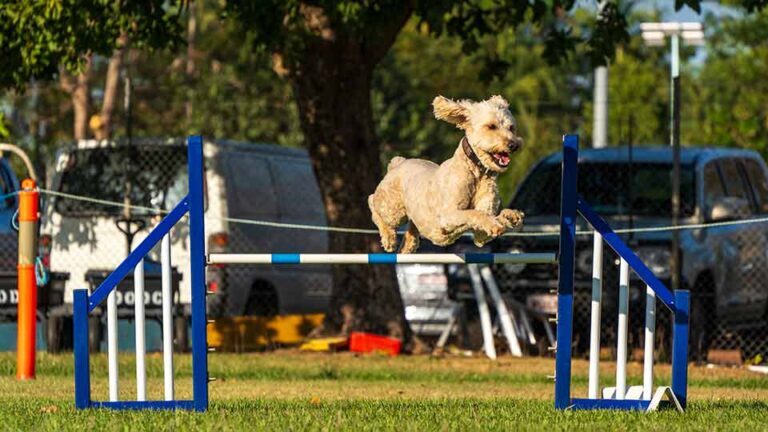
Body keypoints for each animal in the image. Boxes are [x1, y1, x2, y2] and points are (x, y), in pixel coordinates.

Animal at [368, 94, 524, 253]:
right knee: (372, 201)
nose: (514, 145)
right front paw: (499, 221)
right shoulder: (448, 215)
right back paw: (389, 238)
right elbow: (474, 213)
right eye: (491, 126)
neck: (476, 172)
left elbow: (486, 221)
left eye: (511, 128)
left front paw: (511, 217)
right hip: (392, 209)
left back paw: (409, 243)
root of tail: (399, 162)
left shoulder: (480, 235)